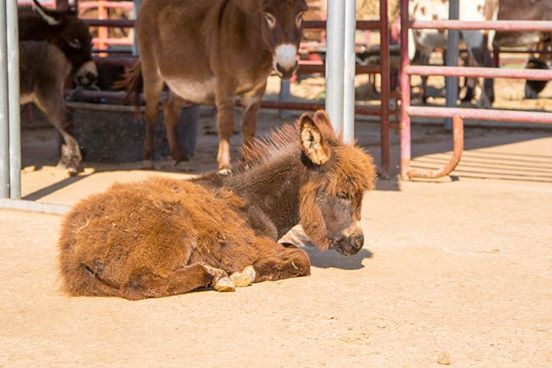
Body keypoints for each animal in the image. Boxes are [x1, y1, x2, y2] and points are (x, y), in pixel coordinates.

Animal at [58, 111, 378, 300]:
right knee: (140, 283)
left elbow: (294, 251)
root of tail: (73, 252)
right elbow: (301, 259)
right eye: (343, 193)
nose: (357, 243)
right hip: (172, 230)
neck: (257, 202)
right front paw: (248, 272)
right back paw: (213, 276)